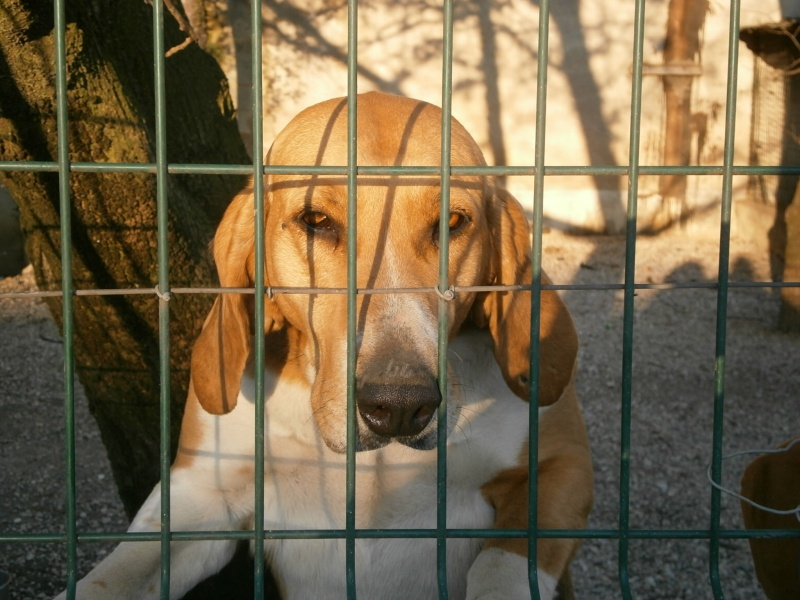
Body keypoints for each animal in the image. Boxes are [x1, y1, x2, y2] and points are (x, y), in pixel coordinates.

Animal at [57, 91, 592, 596]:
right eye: (315, 221)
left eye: (454, 222)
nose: (400, 405)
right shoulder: (199, 493)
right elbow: (109, 579)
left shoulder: (562, 471)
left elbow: (503, 566)